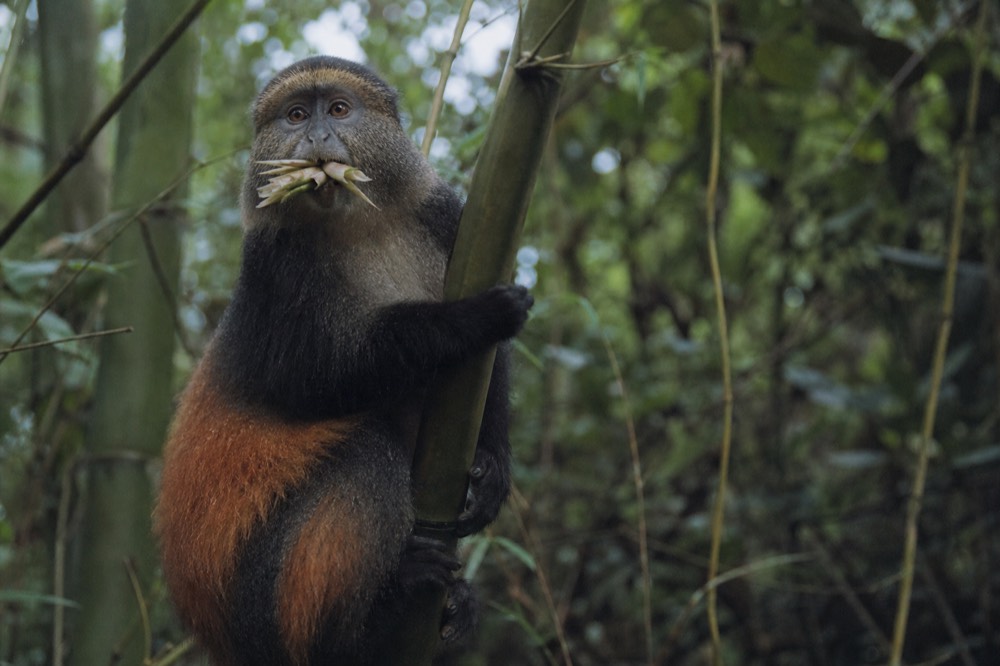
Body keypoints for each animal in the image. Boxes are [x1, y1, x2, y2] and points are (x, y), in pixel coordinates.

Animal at [153, 56, 532, 666]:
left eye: (337, 109)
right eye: (295, 115)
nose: (316, 137)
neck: (361, 224)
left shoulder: (449, 217)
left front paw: (493, 466)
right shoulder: (273, 265)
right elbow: (314, 382)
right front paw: (467, 319)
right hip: (261, 604)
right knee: (366, 457)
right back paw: (377, 618)